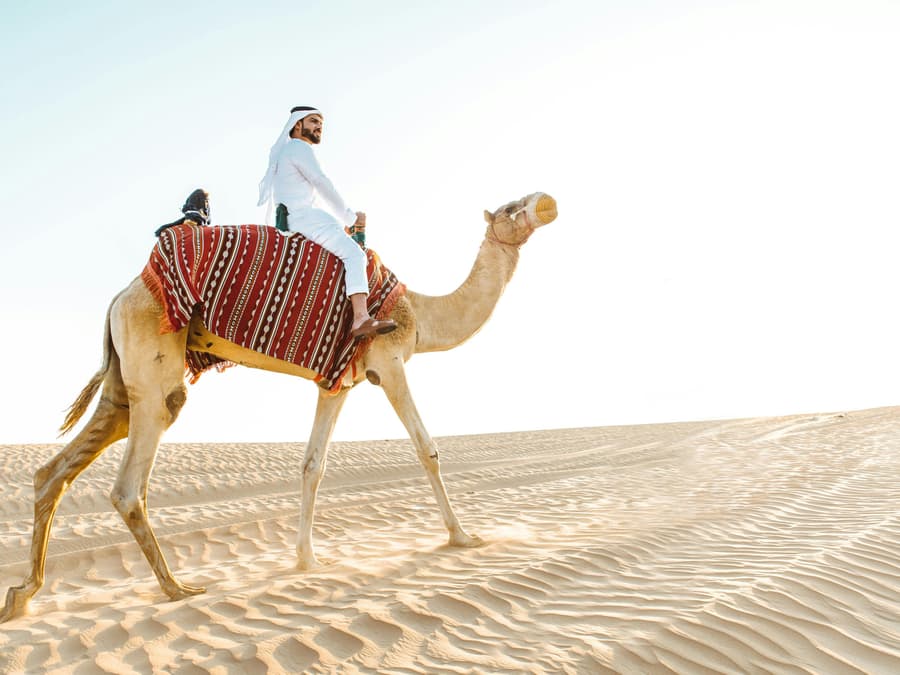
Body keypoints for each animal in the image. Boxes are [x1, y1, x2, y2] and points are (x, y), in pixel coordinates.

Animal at [0, 191, 558, 622]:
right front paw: (463, 537)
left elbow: (313, 465)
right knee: (128, 484)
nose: (543, 202)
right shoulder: (390, 362)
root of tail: (120, 295)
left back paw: (23, 595)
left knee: (56, 469)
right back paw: (176, 587)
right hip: (153, 364)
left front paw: (308, 560)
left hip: (123, 381)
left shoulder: (336, 384)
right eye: (511, 207)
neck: (419, 313)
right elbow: (428, 449)